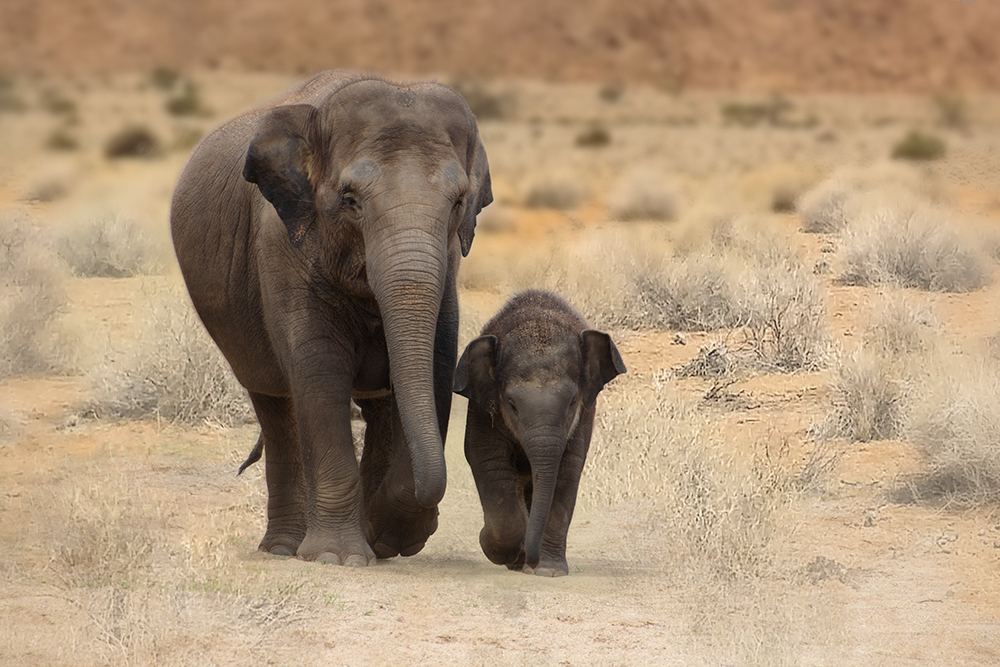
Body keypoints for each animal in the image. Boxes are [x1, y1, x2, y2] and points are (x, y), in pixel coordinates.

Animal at [171, 70, 492, 568]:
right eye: (350, 200)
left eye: (459, 203)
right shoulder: (283, 246)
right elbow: (320, 374)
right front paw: (336, 558)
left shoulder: (447, 270)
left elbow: (437, 370)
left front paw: (388, 536)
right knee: (275, 407)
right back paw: (285, 548)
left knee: (377, 408)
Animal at [456, 290, 624, 576]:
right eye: (511, 404)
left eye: (572, 402)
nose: (531, 561)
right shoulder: (482, 408)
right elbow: (487, 459)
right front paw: (495, 547)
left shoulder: (585, 415)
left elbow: (567, 470)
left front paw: (548, 571)